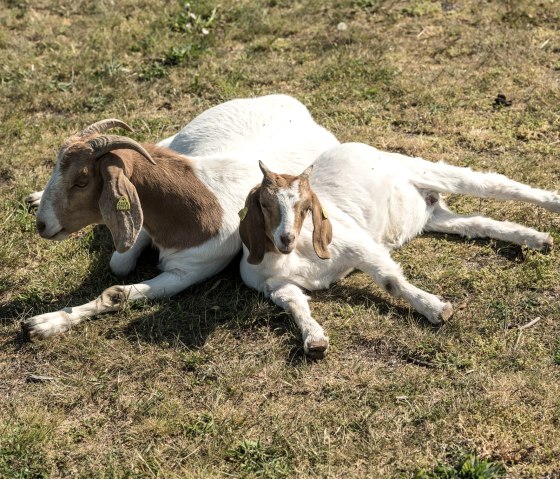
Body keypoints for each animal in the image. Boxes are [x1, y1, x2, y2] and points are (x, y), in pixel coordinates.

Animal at [21, 95, 340, 340]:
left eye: (81, 181)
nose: (43, 225)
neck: (199, 204)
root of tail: (294, 106)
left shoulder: (187, 271)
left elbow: (116, 291)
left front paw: (43, 324)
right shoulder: (144, 224)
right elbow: (119, 264)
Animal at [241, 141, 560, 358]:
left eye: (306, 206)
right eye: (265, 205)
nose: (286, 238)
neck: (291, 257)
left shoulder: (357, 245)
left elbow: (390, 281)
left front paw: (436, 309)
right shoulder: (274, 285)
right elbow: (295, 303)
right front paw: (315, 339)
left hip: (424, 170)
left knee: (493, 184)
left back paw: (553, 203)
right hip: (435, 218)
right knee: (476, 223)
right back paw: (537, 239)